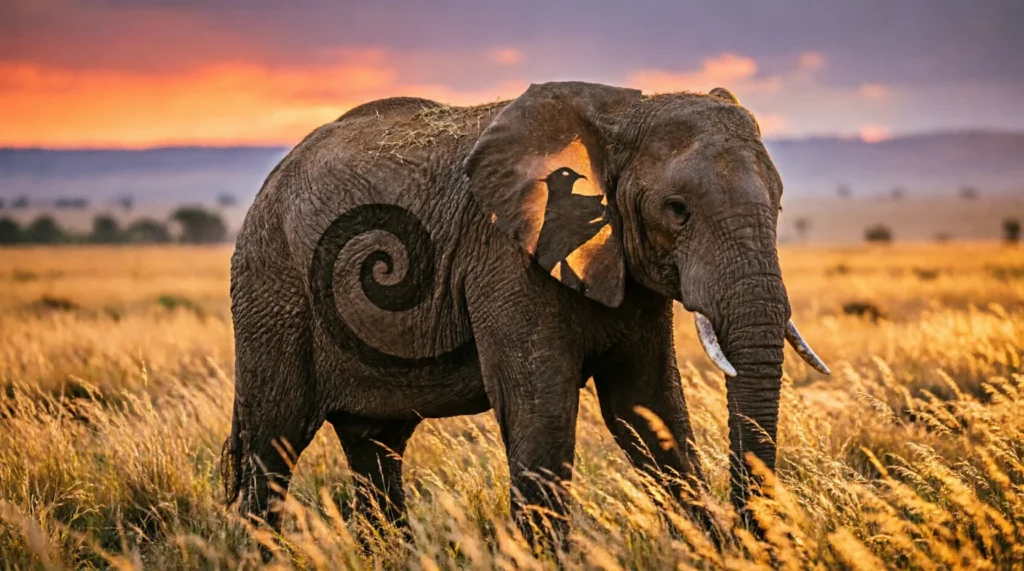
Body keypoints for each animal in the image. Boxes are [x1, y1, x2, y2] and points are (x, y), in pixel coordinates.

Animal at [221, 81, 829, 548]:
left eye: (779, 205)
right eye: (677, 211)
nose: (753, 538)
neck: (624, 112)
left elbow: (646, 408)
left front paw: (710, 550)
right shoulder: (507, 257)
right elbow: (543, 409)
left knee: (375, 446)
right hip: (271, 286)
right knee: (275, 444)